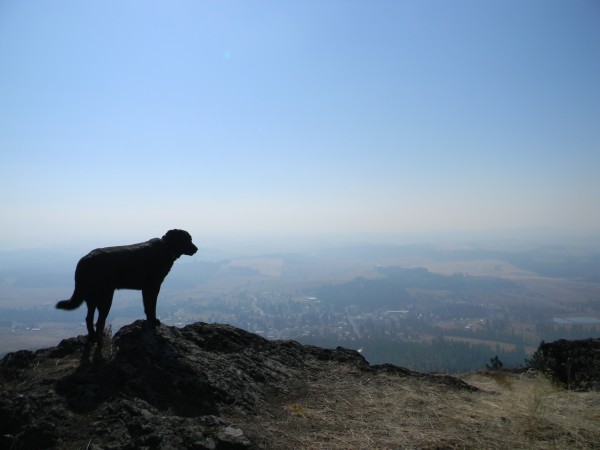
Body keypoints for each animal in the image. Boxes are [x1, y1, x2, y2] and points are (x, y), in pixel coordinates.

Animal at [56, 230, 197, 342]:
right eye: (187, 239)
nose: (196, 249)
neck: (166, 247)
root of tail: (84, 259)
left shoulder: (146, 289)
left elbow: (147, 306)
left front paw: (149, 320)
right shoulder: (153, 286)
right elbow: (152, 305)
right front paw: (153, 321)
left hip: (92, 297)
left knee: (89, 319)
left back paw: (92, 338)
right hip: (106, 297)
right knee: (100, 322)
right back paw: (100, 341)